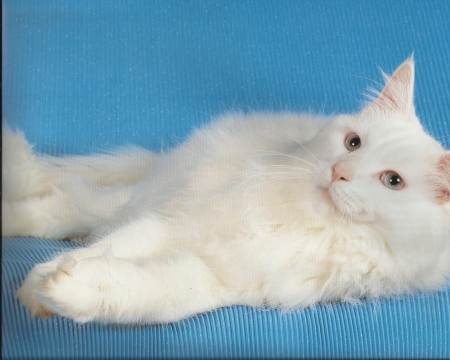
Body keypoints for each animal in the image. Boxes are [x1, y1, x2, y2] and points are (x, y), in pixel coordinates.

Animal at [3, 59, 450, 324]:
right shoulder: (174, 224)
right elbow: (108, 248)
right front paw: (39, 283)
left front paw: (64, 290)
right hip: (150, 195)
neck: (300, 221)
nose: (339, 172)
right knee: (68, 205)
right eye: (353, 143)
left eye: (392, 181)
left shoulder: (218, 279)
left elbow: (139, 291)